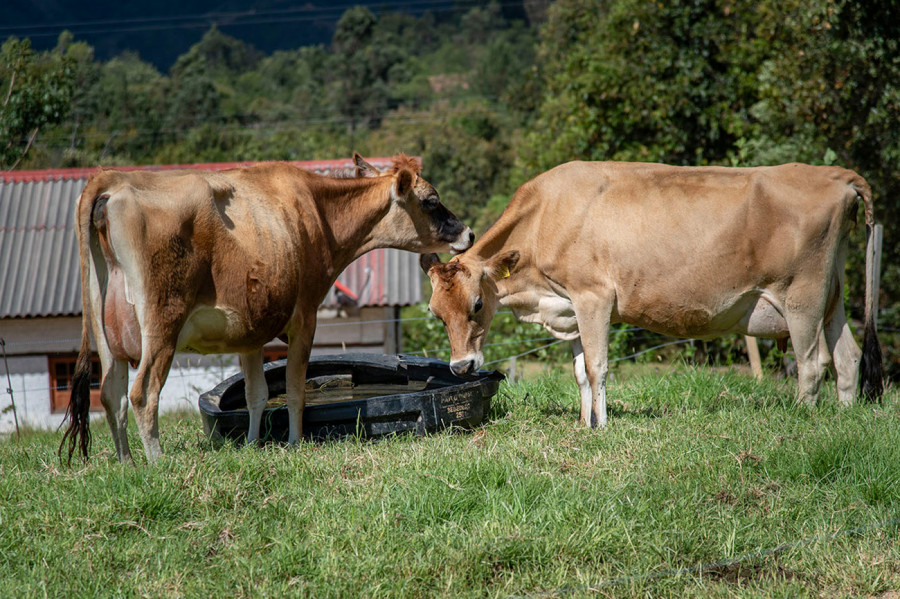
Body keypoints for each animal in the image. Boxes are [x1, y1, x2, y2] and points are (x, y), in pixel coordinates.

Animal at [59, 154, 474, 464]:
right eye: (431, 200)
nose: (468, 233)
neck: (319, 215)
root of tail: (112, 178)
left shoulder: (249, 332)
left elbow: (255, 394)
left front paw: (252, 445)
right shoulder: (305, 317)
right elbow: (293, 389)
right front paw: (294, 443)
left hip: (105, 330)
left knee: (110, 393)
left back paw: (127, 464)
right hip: (162, 321)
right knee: (143, 393)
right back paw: (158, 464)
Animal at [424, 162, 884, 428]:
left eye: (477, 304)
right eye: (436, 314)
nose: (461, 367)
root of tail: (835, 174)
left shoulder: (593, 297)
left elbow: (597, 367)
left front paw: (602, 428)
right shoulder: (568, 308)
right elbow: (579, 372)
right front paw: (583, 425)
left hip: (802, 296)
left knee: (812, 362)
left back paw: (803, 421)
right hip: (831, 295)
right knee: (847, 357)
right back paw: (844, 418)